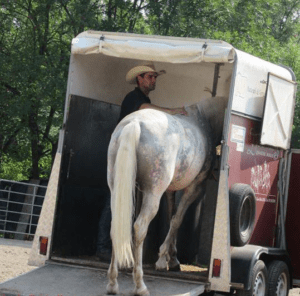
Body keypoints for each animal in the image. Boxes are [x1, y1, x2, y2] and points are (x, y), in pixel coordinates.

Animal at [106, 96, 229, 294]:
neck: (204, 121)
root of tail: (134, 124)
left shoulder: (170, 190)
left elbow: (172, 217)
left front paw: (172, 258)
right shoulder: (194, 188)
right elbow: (177, 220)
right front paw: (164, 259)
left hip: (116, 190)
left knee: (116, 227)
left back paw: (112, 283)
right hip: (152, 194)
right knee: (139, 228)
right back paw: (140, 285)